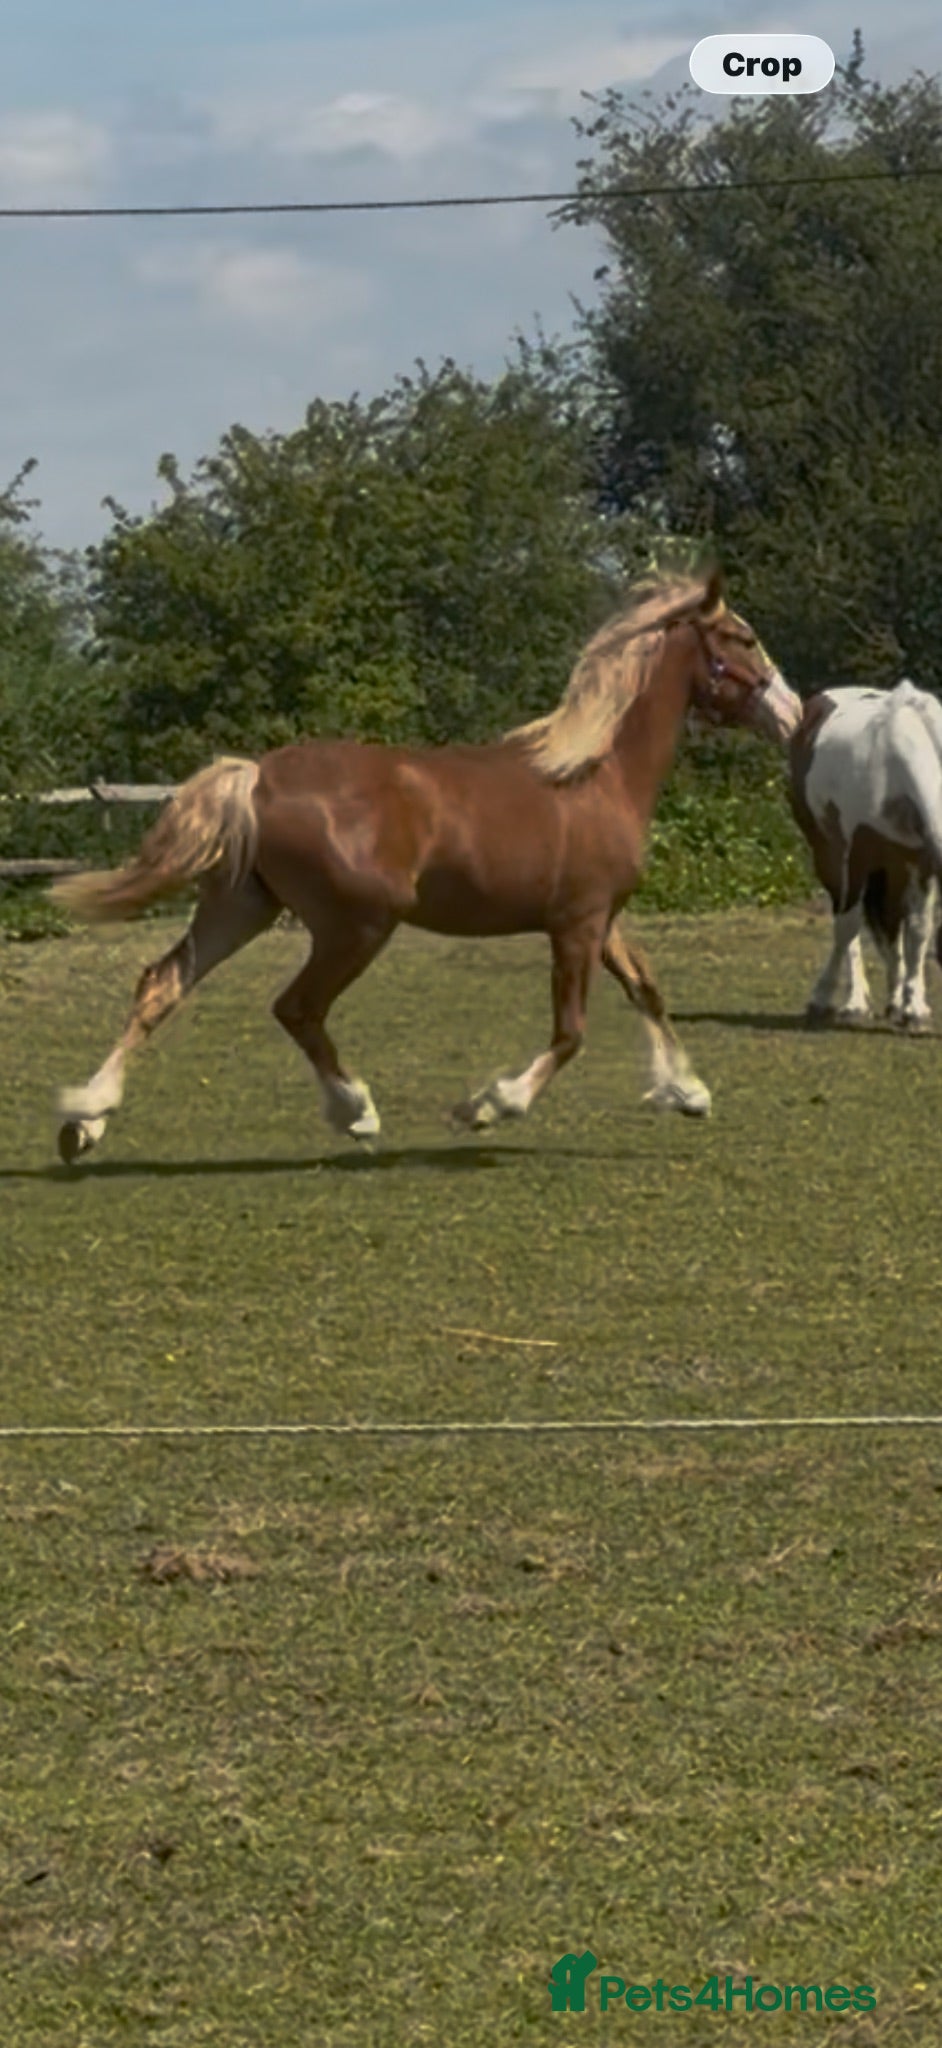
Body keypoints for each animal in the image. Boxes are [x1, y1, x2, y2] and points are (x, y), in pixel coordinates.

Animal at [52, 567, 801, 1162]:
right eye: (742, 638)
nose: (793, 712)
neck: (595, 775)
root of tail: (256, 778)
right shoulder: (577, 926)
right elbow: (571, 1034)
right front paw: (487, 1107)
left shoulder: (601, 920)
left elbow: (647, 989)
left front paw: (688, 1090)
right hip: (356, 926)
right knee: (297, 1007)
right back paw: (357, 1113)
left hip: (244, 906)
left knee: (162, 985)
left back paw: (84, 1120)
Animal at [789, 679, 942, 1030]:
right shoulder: (859, 853)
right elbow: (848, 926)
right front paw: (831, 999)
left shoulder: (922, 860)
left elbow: (918, 929)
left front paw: (913, 1008)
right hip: (829, 854)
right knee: (846, 918)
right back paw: (852, 1001)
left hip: (895, 866)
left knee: (891, 923)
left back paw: (896, 1000)